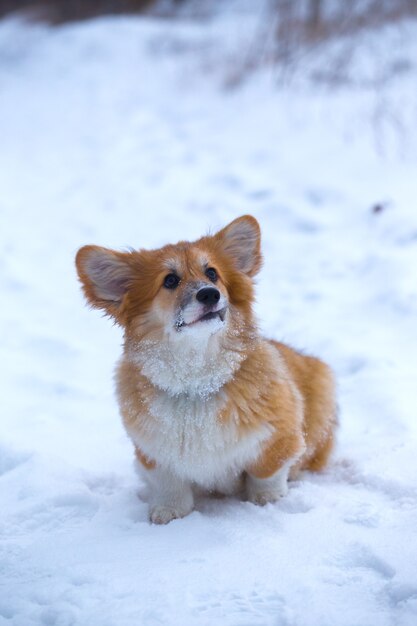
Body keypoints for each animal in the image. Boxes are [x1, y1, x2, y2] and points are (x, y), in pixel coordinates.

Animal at [75, 214, 334, 520]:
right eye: (170, 280)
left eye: (212, 273)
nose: (210, 294)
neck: (196, 379)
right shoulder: (154, 454)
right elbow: (169, 484)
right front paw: (169, 511)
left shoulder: (278, 437)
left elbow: (267, 473)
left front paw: (267, 500)